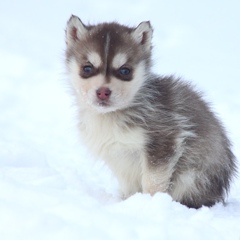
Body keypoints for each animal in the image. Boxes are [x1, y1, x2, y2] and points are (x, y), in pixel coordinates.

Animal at [64, 15, 237, 208]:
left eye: (125, 70)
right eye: (87, 68)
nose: (103, 92)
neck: (111, 116)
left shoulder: (164, 141)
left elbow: (153, 182)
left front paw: (151, 205)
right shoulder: (119, 158)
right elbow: (129, 186)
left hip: (192, 176)